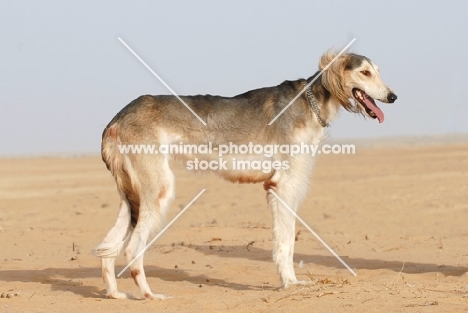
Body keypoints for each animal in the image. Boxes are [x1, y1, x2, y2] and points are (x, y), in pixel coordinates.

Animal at [93, 50, 396, 298]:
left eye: (377, 71)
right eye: (364, 72)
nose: (393, 97)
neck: (310, 102)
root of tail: (116, 119)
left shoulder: (278, 186)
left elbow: (285, 240)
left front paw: (289, 282)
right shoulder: (284, 186)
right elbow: (285, 241)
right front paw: (290, 284)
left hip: (132, 196)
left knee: (108, 248)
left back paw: (115, 294)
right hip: (158, 190)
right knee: (132, 249)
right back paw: (150, 296)